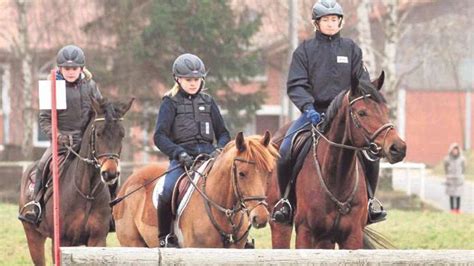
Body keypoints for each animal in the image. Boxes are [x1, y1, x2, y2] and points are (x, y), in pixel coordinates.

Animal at [18, 97, 133, 266]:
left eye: (122, 135)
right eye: (98, 133)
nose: (110, 173)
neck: (87, 192)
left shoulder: (97, 240)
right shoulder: (61, 242)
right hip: (33, 235)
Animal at [268, 72, 406, 249]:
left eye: (385, 110)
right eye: (362, 113)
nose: (398, 148)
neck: (336, 177)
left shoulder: (353, 235)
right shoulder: (305, 232)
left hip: (326, 239)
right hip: (281, 225)